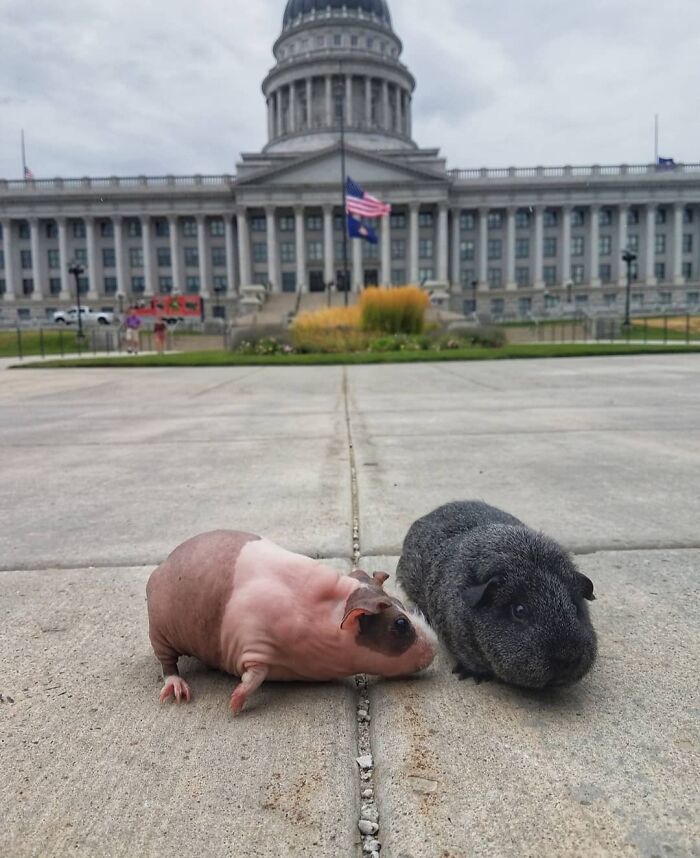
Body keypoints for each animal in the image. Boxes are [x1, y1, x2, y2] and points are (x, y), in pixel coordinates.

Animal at [146, 530, 437, 714]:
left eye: (401, 604)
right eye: (400, 624)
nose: (435, 647)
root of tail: (160, 568)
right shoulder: (253, 640)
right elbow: (255, 675)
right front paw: (236, 703)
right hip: (160, 631)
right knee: (167, 662)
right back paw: (176, 686)